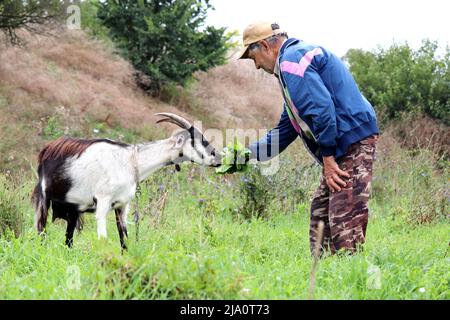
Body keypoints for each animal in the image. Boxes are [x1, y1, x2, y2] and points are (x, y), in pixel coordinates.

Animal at [31, 113, 221, 250]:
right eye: (199, 140)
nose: (218, 157)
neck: (131, 161)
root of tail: (47, 149)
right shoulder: (102, 201)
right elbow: (103, 240)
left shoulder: (122, 205)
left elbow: (124, 240)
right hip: (44, 201)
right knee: (41, 232)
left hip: (73, 209)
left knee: (68, 240)